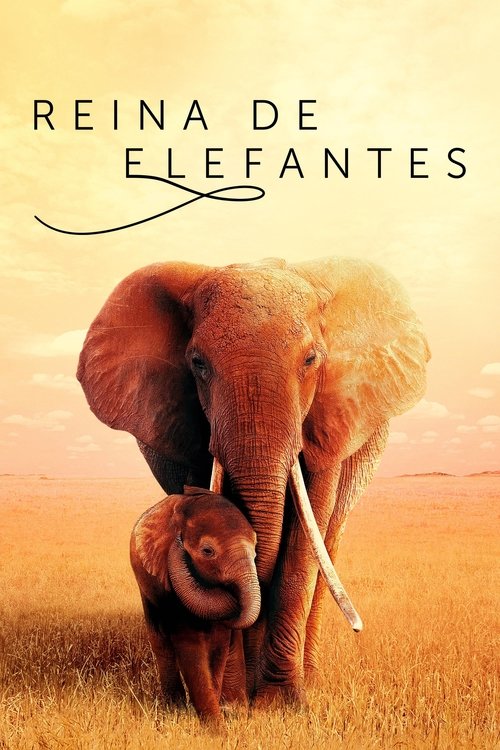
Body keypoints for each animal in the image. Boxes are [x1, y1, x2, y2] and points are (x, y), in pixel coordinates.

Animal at [130, 486, 260, 722]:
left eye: (255, 550)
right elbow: (189, 643)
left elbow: (219, 644)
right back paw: (174, 707)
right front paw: (213, 726)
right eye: (208, 551)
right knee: (161, 643)